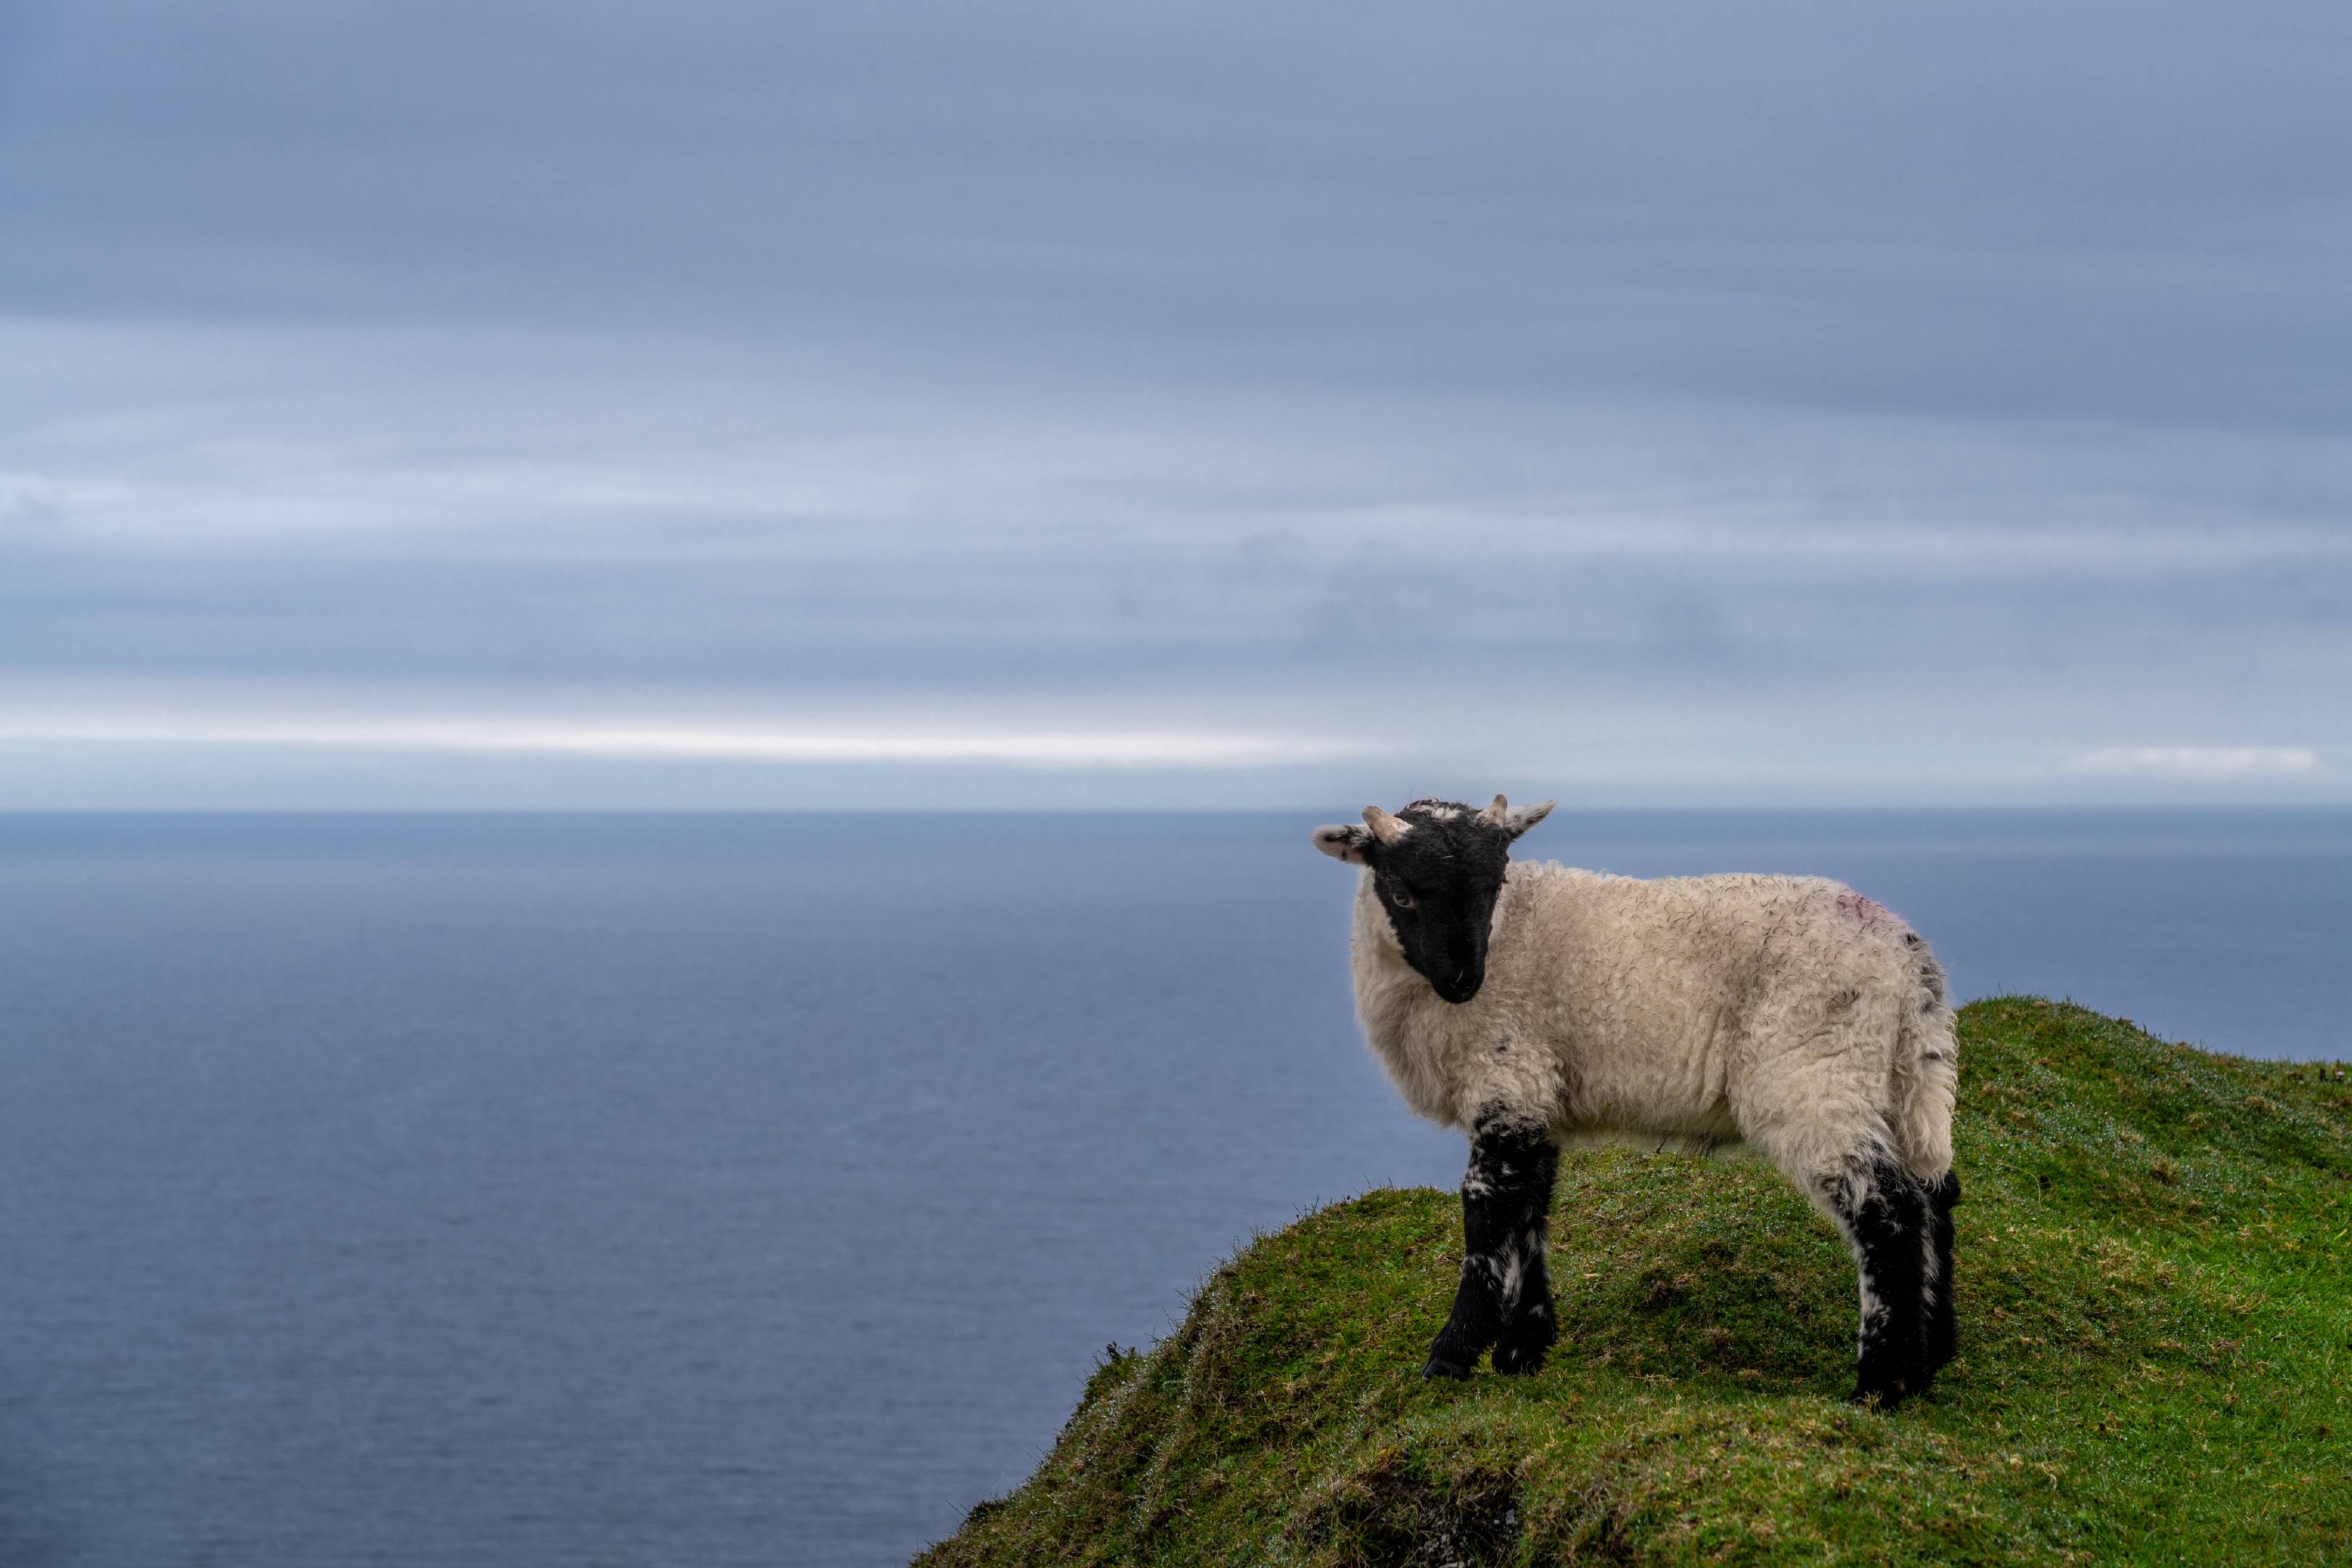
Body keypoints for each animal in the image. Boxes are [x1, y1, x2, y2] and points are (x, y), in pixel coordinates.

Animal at [1313, 794, 1960, 1406]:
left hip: (1814, 1073)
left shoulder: (1507, 1077)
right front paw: (1522, 1351)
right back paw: (1934, 1359)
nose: (1464, 983)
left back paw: (1881, 1386)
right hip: (1897, 1080)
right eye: (1401, 892)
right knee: (1936, 1193)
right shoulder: (1538, 1096)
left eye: (1494, 885)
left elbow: (1486, 1216)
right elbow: (1530, 1215)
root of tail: (1908, 958)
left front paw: (1451, 1357)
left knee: (1889, 1210)